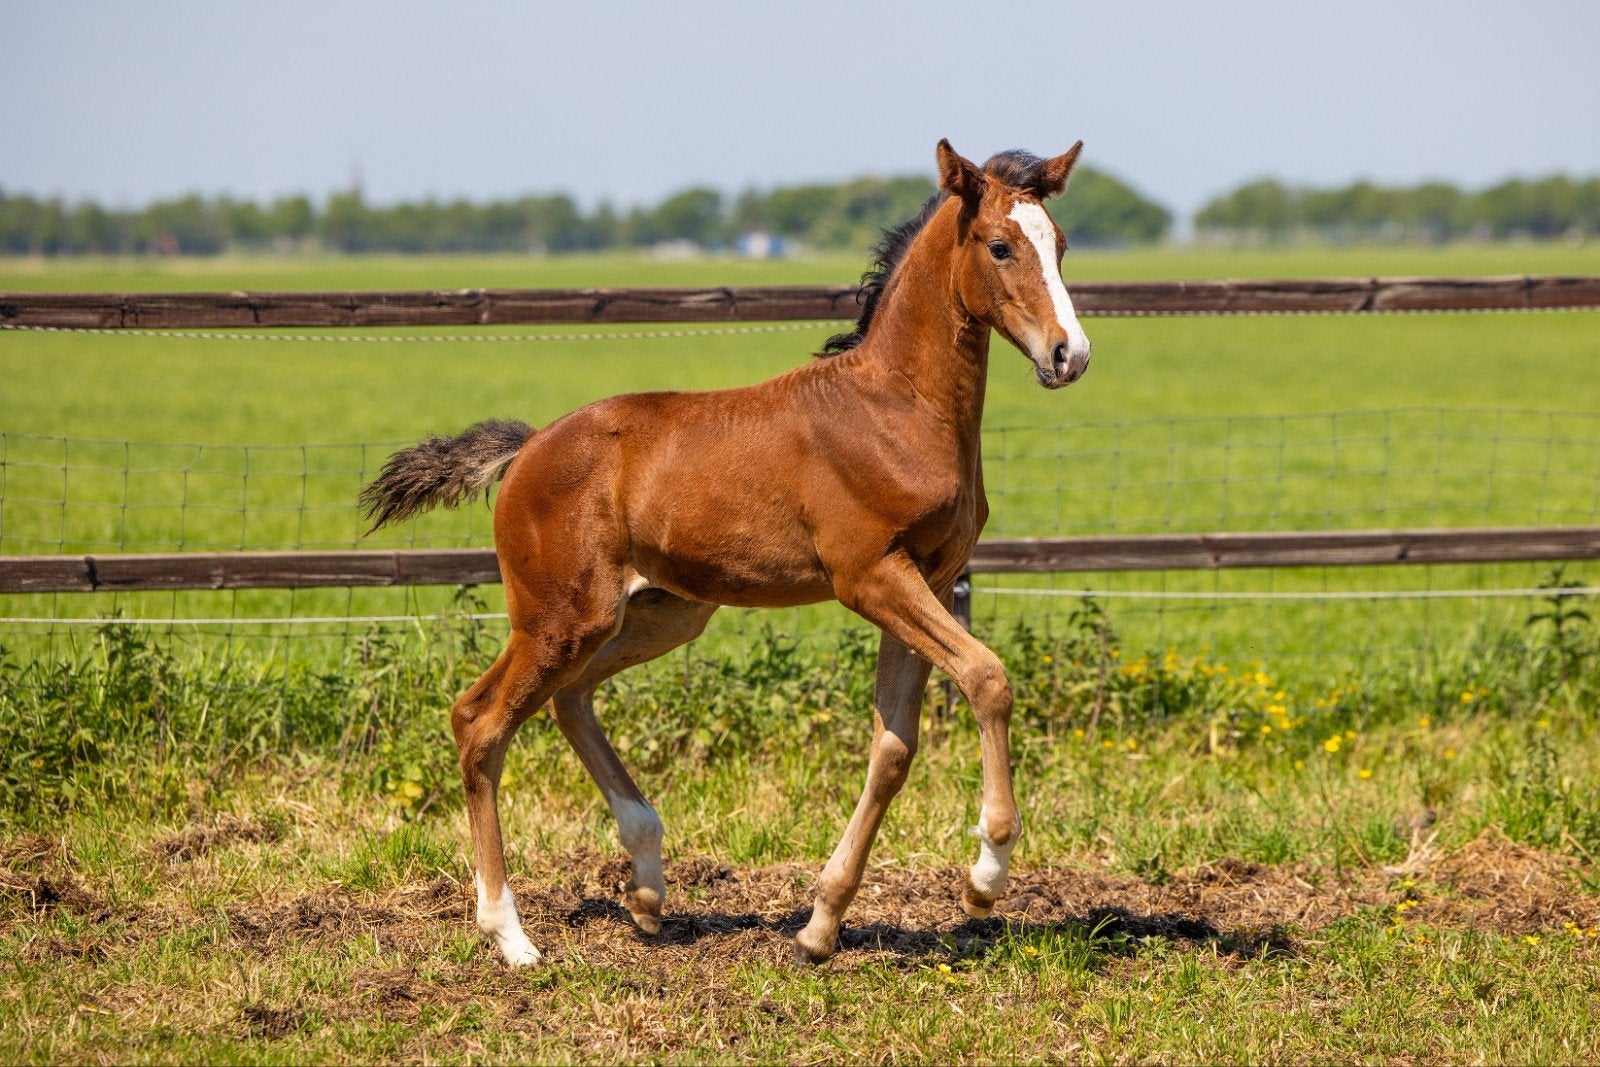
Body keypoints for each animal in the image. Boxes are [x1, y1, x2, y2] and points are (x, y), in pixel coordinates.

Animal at [361, 139, 1092, 967]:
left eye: (1061, 245)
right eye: (1000, 246)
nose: (1069, 354)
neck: (896, 407)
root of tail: (527, 448)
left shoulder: (925, 581)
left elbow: (893, 747)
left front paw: (820, 922)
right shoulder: (871, 576)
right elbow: (987, 678)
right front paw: (985, 874)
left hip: (657, 613)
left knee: (568, 698)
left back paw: (647, 885)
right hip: (559, 617)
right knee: (480, 721)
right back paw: (511, 935)